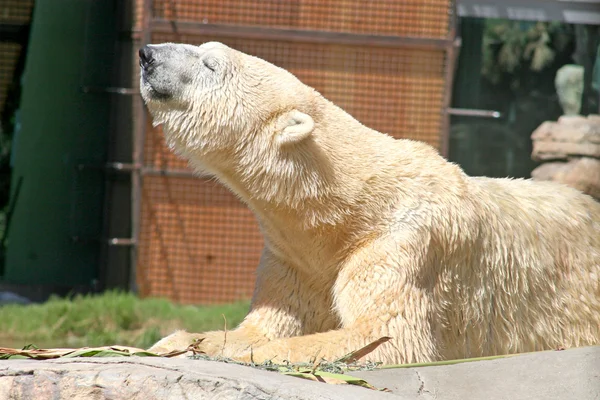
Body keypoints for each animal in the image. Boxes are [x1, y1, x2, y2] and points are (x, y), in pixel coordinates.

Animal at [141, 42, 600, 364]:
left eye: (211, 64)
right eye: (205, 52)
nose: (147, 55)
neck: (346, 213)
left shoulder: (401, 247)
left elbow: (388, 338)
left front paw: (248, 353)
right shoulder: (296, 260)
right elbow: (270, 322)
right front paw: (177, 340)